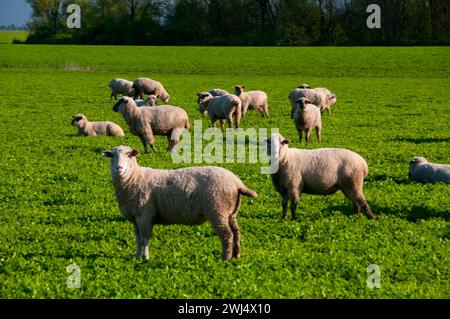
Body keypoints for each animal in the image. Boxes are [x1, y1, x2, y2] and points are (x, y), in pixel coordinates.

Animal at [100, 146, 258, 262]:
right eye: (112, 156)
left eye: (129, 156)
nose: (119, 168)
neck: (135, 178)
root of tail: (236, 182)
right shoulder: (135, 217)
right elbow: (138, 238)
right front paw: (137, 257)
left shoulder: (145, 215)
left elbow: (144, 239)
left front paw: (145, 258)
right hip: (230, 212)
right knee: (236, 233)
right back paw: (237, 255)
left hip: (218, 210)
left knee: (227, 235)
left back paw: (226, 258)